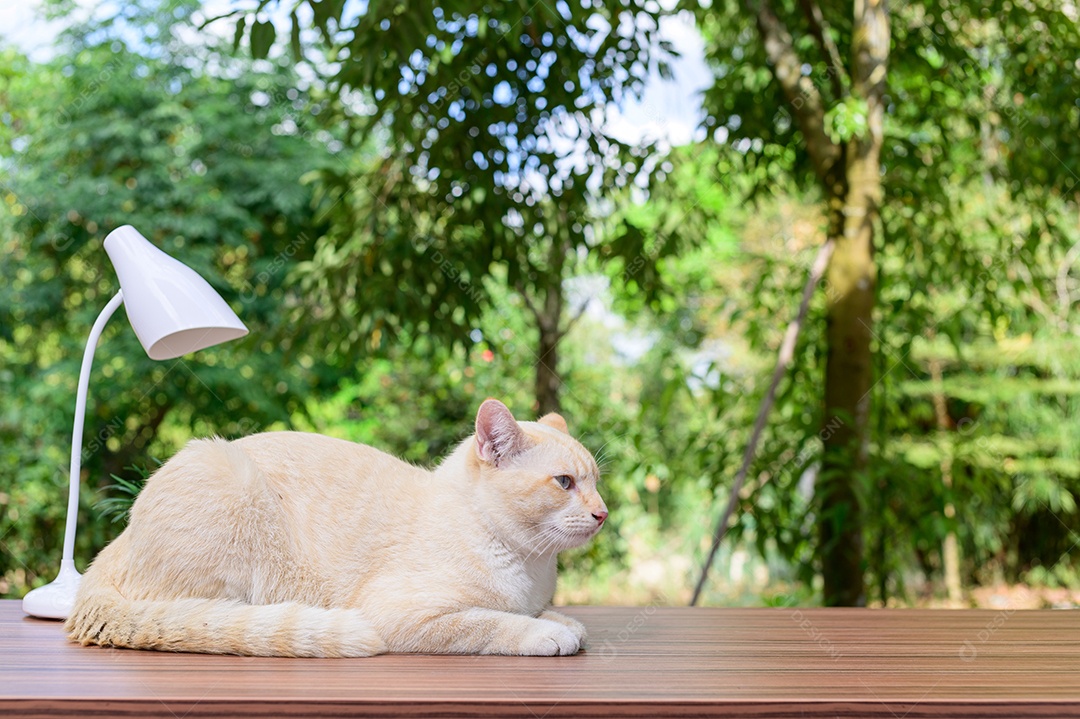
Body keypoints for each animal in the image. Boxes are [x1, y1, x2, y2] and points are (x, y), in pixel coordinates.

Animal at [65, 397, 609, 656]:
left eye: (596, 482)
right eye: (564, 482)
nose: (603, 513)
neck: (532, 567)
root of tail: (115, 545)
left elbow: (546, 614)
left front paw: (562, 622)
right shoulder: (405, 615)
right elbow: (493, 622)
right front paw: (547, 634)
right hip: (229, 485)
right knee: (203, 617)